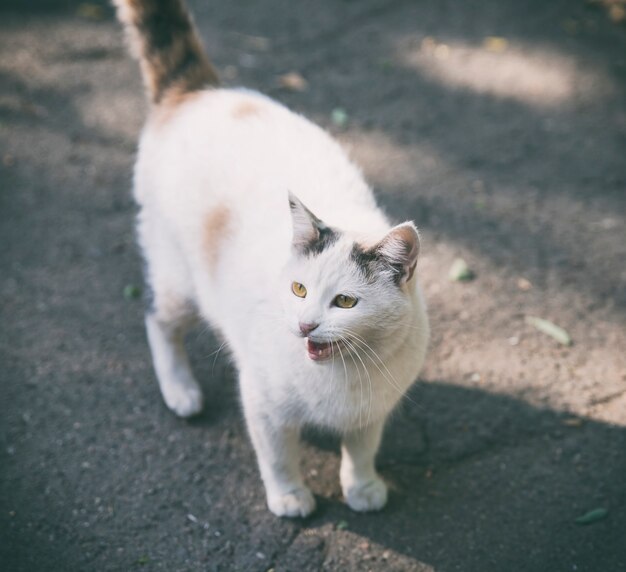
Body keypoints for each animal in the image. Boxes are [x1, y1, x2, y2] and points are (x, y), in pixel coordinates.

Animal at [114, 0, 426, 520]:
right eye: (298, 290)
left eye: (345, 302)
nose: (304, 325)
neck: (340, 377)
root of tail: (200, 92)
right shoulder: (263, 403)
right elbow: (278, 454)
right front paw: (290, 497)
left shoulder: (371, 409)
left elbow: (362, 449)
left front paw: (362, 488)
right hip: (179, 281)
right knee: (157, 320)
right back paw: (181, 392)